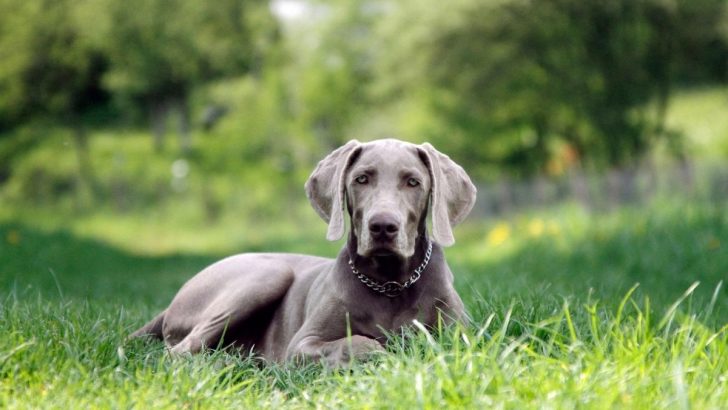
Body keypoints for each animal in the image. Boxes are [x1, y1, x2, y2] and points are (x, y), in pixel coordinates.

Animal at [132, 139, 478, 366]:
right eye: (361, 179)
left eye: (413, 182)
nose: (382, 226)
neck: (390, 284)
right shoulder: (301, 345)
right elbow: (360, 344)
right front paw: (388, 354)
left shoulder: (462, 337)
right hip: (267, 274)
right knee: (179, 352)